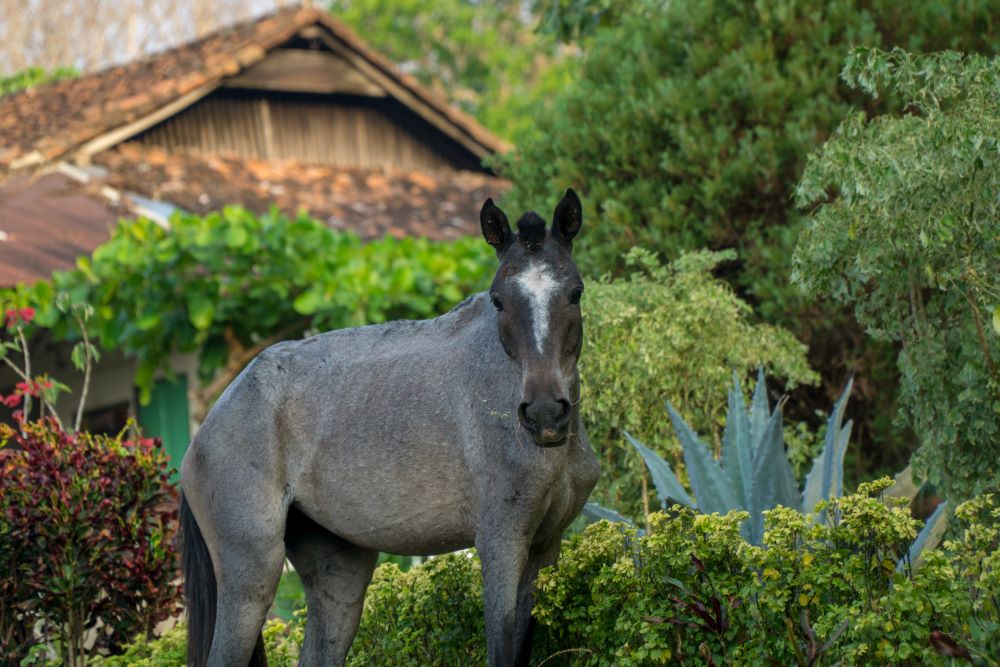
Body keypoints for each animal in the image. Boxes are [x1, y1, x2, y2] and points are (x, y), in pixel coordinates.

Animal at [178, 189, 600, 667]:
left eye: (575, 293)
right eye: (497, 300)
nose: (545, 414)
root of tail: (208, 428)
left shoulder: (545, 548)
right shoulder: (501, 543)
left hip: (339, 577)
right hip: (251, 581)